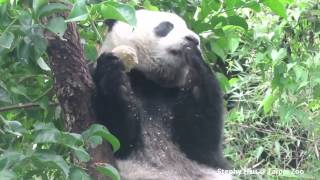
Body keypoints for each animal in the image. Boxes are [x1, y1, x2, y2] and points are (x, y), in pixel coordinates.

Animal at [94, 9, 231, 180]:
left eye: (187, 27)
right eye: (166, 26)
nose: (193, 39)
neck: (153, 81)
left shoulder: (174, 94)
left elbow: (201, 143)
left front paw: (195, 61)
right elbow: (117, 137)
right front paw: (111, 72)